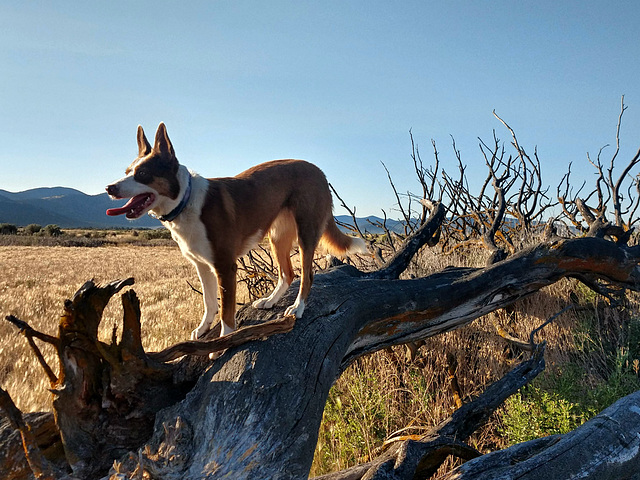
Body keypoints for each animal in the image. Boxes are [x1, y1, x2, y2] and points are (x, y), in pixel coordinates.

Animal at [105, 124, 364, 342]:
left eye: (142, 174)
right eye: (127, 171)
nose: (109, 188)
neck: (185, 202)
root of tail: (319, 171)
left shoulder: (225, 266)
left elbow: (226, 312)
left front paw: (222, 343)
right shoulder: (202, 265)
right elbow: (209, 302)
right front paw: (203, 328)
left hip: (306, 232)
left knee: (307, 275)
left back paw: (297, 308)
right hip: (277, 236)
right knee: (287, 274)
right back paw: (270, 301)